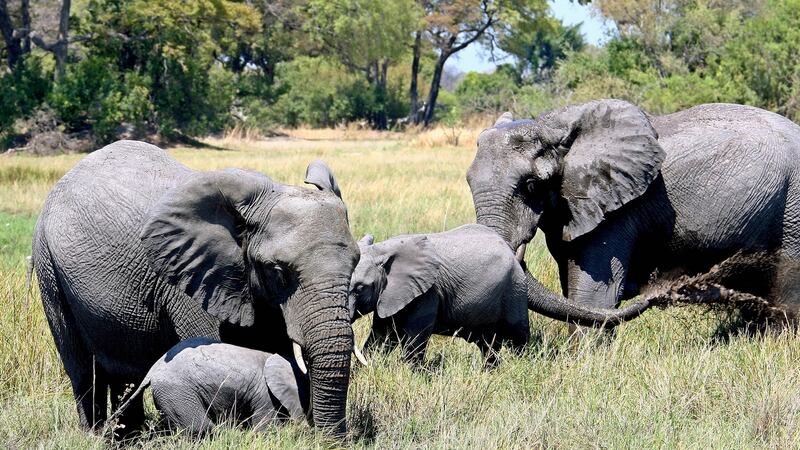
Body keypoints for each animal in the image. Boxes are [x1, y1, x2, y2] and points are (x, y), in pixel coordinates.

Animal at [347, 224, 652, 365]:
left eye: (360, 287)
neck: (386, 250)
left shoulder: (427, 293)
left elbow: (414, 339)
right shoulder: (392, 294)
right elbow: (381, 334)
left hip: (513, 290)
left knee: (517, 337)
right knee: (488, 344)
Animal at [467, 100, 800, 327]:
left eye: (531, 185)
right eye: (469, 181)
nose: (666, 292)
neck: (552, 128)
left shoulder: (617, 212)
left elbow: (593, 295)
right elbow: (573, 291)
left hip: (793, 204)